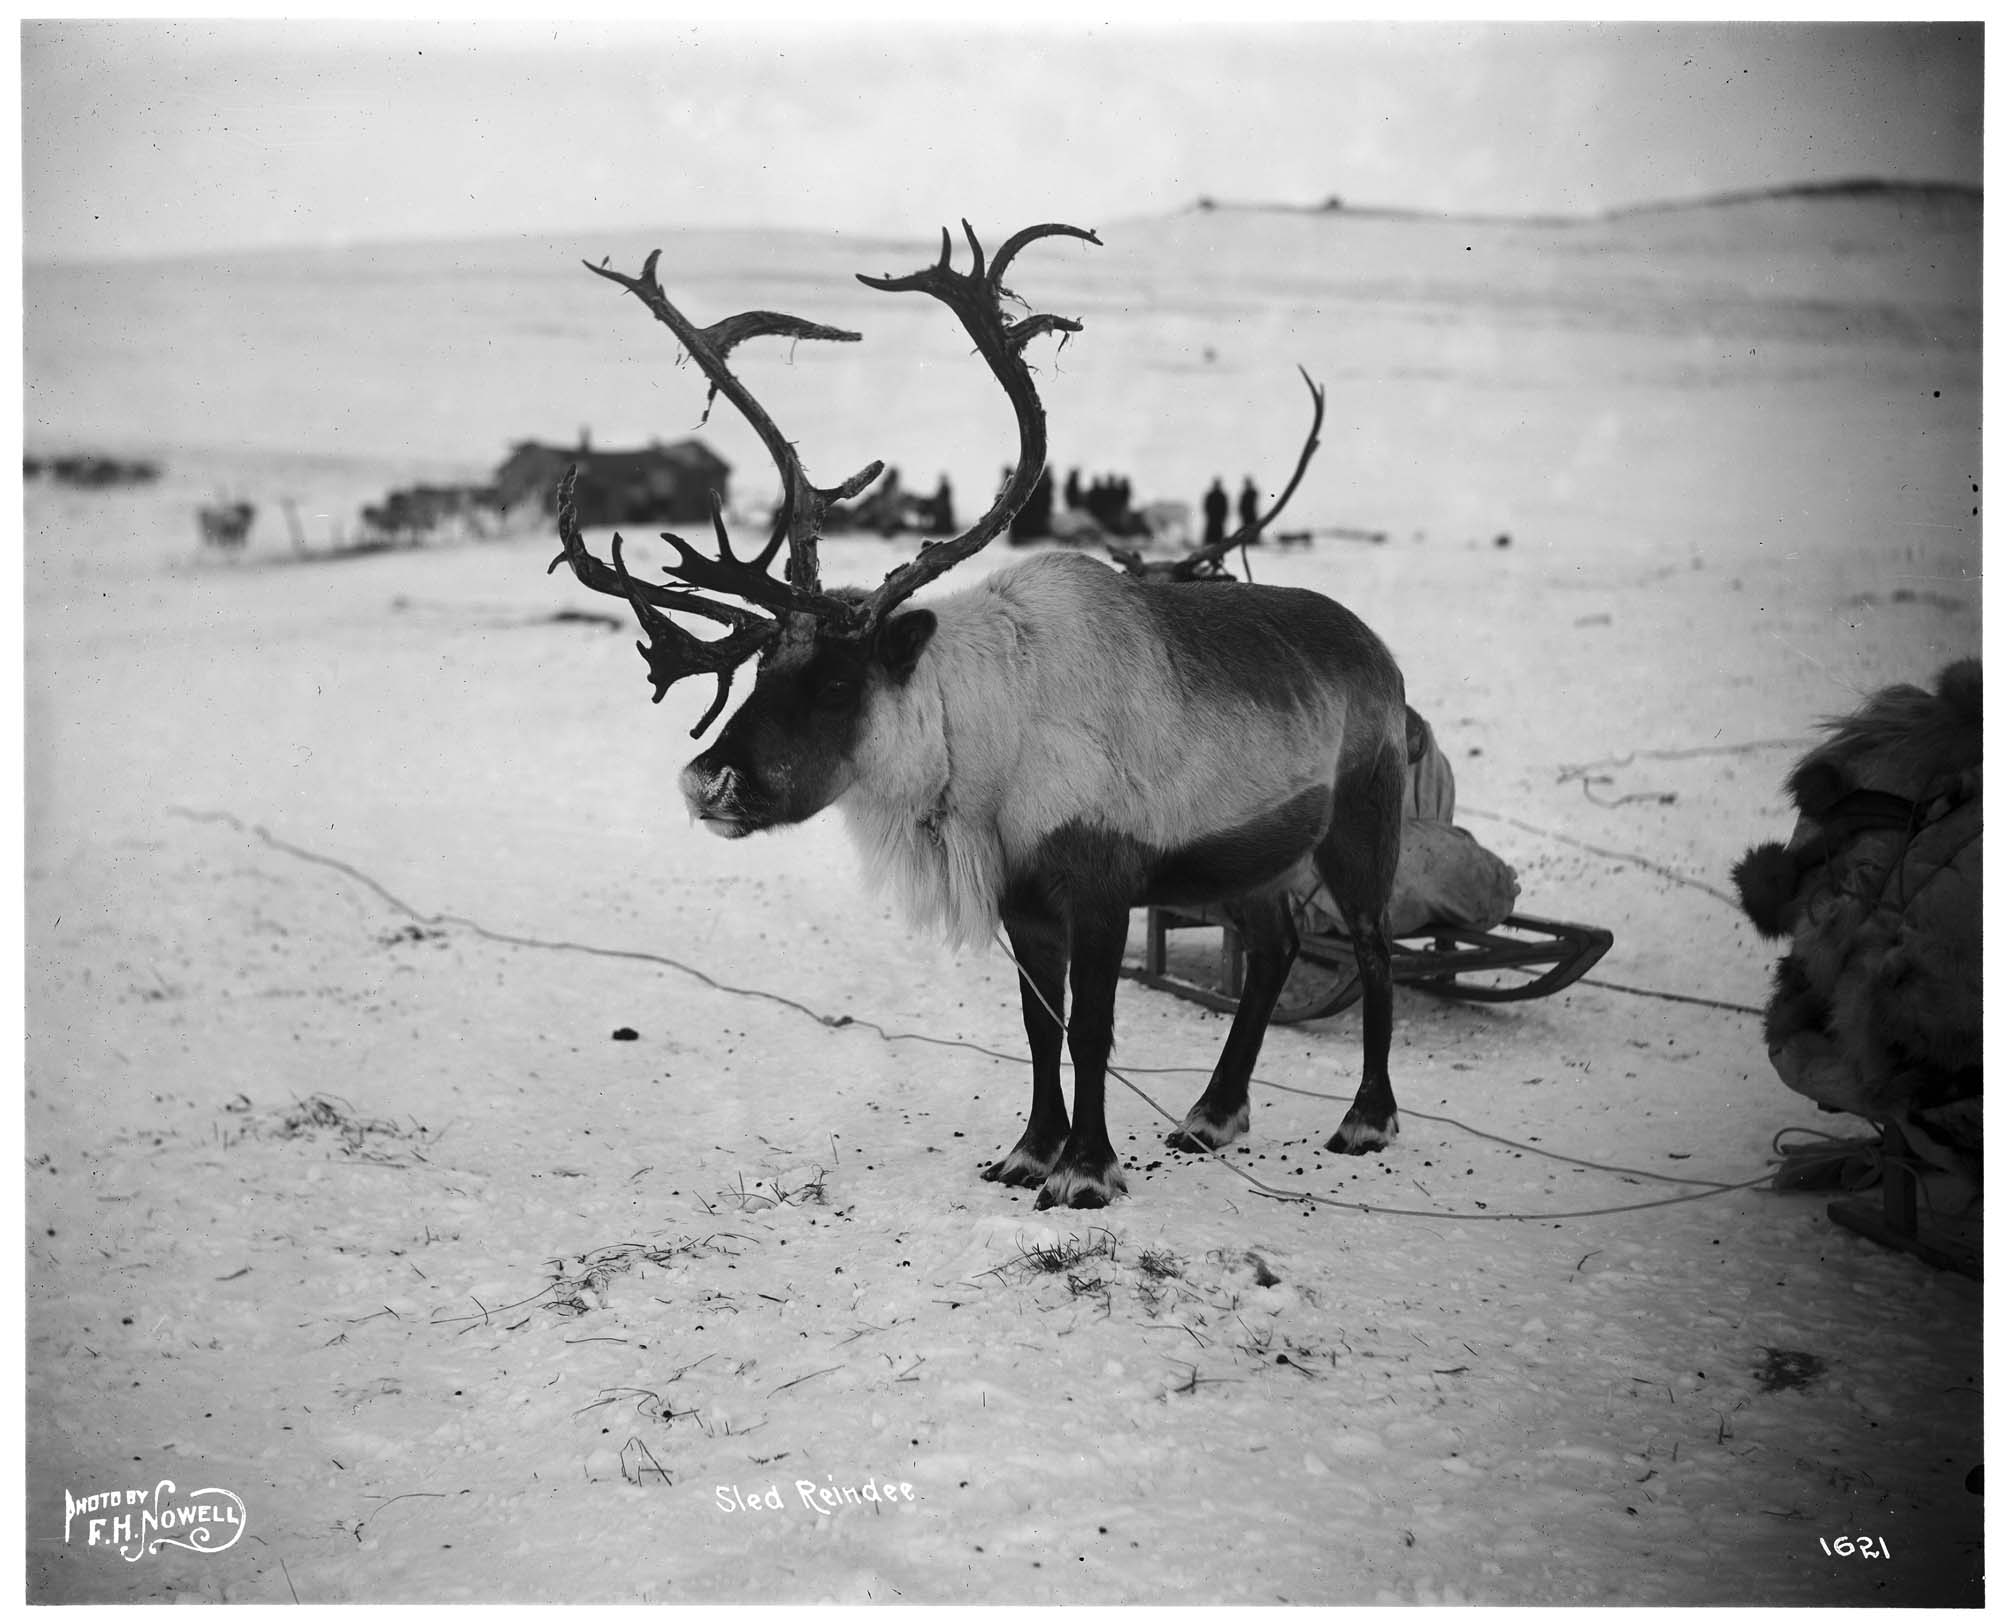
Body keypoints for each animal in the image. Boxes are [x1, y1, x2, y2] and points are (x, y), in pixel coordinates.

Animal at [549, 222, 1409, 1210]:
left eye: (838, 683)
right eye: (763, 666)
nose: (707, 780)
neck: (988, 739)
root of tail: (1380, 651)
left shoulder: (1100, 882)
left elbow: (1092, 1029)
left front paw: (1087, 1170)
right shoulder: (1024, 896)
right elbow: (1039, 1027)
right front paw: (1030, 1151)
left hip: (1361, 821)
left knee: (1372, 946)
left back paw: (1366, 1119)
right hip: (1252, 855)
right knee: (1276, 945)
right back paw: (1212, 1114)